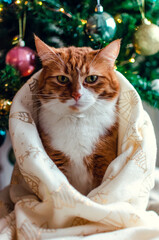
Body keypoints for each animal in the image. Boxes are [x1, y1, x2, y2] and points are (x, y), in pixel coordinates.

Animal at [34, 36, 120, 196]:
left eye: (92, 78)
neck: (77, 121)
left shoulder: (103, 158)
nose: (76, 95)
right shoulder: (55, 159)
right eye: (62, 79)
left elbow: (97, 192)